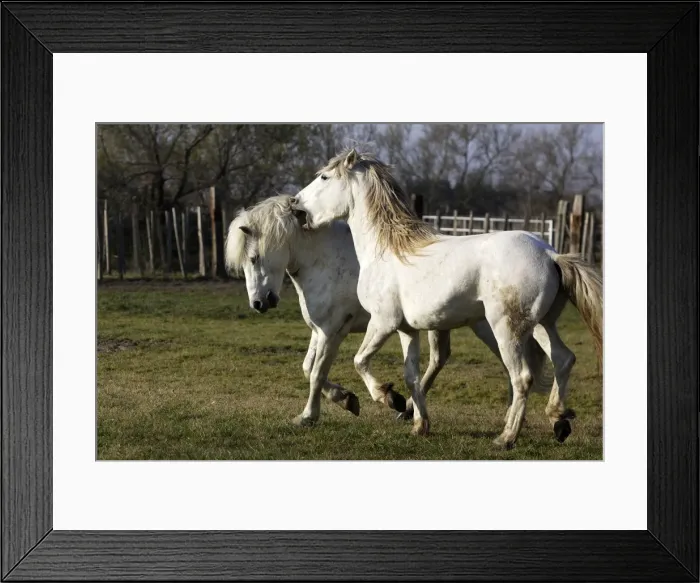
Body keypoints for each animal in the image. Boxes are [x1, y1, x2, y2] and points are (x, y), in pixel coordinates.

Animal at [224, 194, 552, 429]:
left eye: (254, 258)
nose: (259, 303)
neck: (325, 259)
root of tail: (547, 255)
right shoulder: (320, 331)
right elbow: (308, 369)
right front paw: (348, 399)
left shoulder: (332, 332)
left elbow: (317, 373)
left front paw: (309, 416)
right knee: (442, 359)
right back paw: (409, 410)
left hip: (494, 326)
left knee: (523, 364)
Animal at [291, 148, 602, 448]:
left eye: (324, 177)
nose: (295, 204)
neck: (386, 251)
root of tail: (550, 255)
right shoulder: (406, 330)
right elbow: (412, 376)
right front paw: (418, 424)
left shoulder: (382, 322)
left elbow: (359, 361)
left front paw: (388, 398)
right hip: (542, 324)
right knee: (563, 359)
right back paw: (559, 421)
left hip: (506, 329)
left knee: (522, 377)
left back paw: (506, 437)